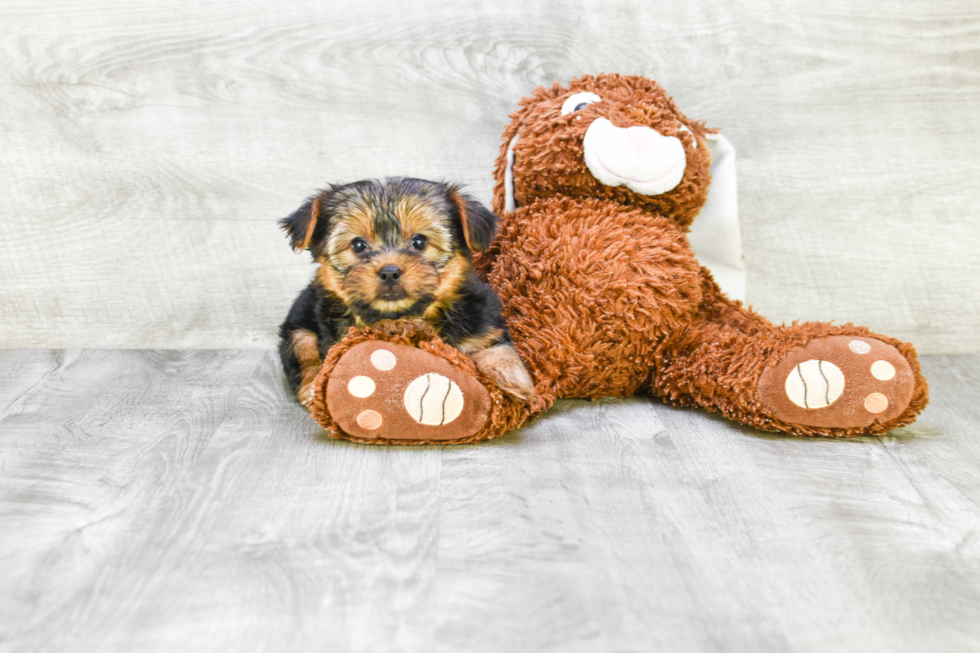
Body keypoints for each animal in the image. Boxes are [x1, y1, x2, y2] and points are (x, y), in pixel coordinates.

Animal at [276, 173, 536, 408]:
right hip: (298, 326)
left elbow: (492, 344)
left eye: (419, 242)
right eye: (358, 245)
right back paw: (311, 389)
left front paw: (513, 377)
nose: (389, 272)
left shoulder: (481, 320)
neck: (406, 317)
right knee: (303, 352)